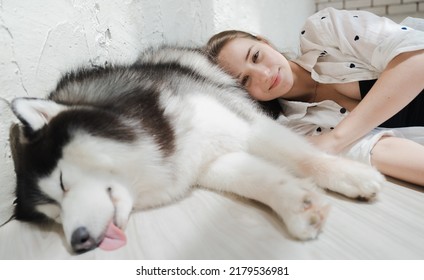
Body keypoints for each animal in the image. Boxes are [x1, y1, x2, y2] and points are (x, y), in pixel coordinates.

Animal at [9, 44, 386, 253]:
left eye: (62, 182)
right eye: (54, 215)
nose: (78, 241)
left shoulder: (247, 124)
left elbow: (304, 157)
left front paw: (348, 175)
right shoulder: (207, 164)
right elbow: (261, 181)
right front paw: (297, 206)